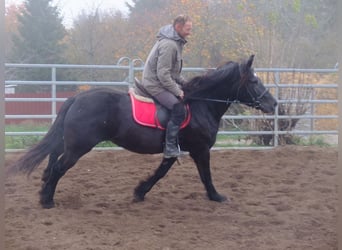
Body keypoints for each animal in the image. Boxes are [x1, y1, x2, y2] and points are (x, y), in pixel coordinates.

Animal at [10, 55, 278, 208]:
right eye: (254, 81)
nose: (273, 104)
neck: (201, 104)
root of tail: (77, 97)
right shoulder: (200, 150)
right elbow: (206, 176)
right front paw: (216, 196)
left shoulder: (175, 149)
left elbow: (161, 172)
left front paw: (139, 192)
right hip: (78, 147)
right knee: (58, 167)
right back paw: (47, 200)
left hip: (70, 143)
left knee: (52, 158)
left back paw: (44, 189)